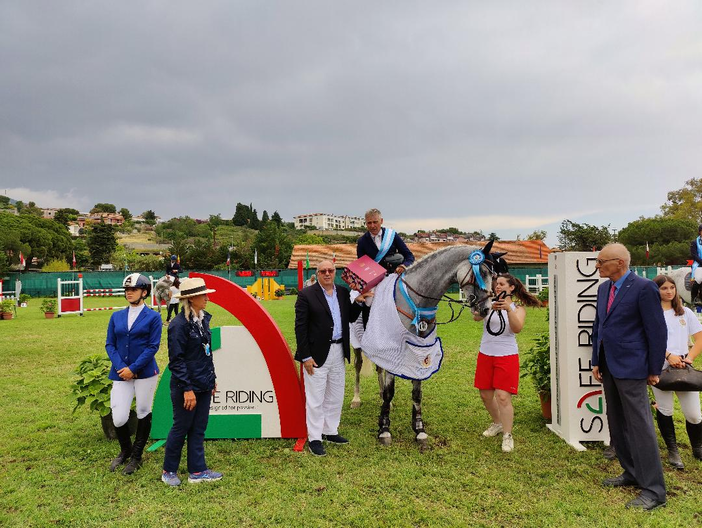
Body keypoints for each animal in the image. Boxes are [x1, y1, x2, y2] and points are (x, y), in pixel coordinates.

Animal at [360, 242, 504, 446]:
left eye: (493, 275)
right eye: (481, 272)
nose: (485, 309)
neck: (414, 303)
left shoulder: (421, 350)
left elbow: (416, 391)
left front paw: (419, 429)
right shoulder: (391, 348)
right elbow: (390, 390)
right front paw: (385, 430)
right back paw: (356, 400)